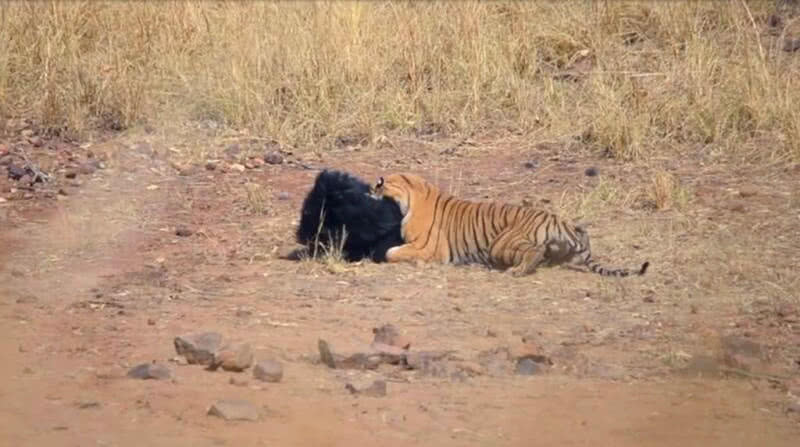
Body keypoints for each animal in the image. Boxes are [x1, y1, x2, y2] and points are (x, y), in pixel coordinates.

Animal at [368, 173, 648, 278]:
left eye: (381, 183)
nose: (371, 188)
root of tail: (559, 220)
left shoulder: (430, 248)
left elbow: (391, 252)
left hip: (502, 243)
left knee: (533, 252)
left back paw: (517, 271)